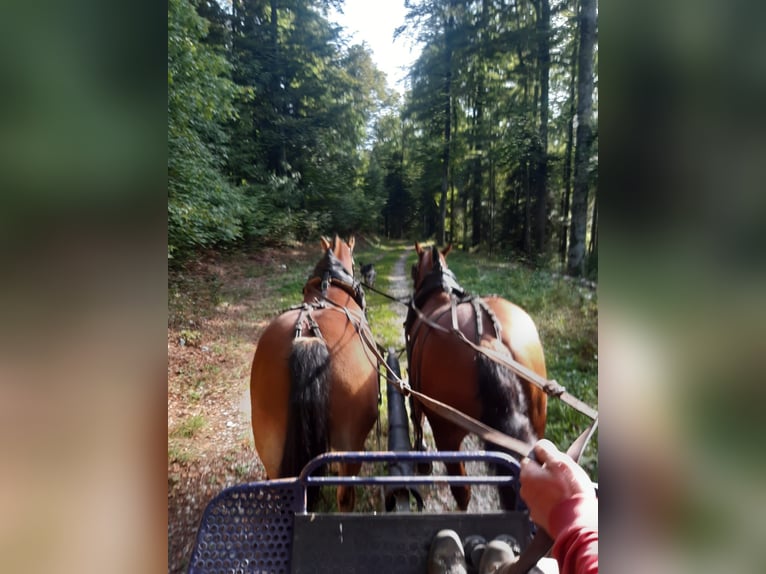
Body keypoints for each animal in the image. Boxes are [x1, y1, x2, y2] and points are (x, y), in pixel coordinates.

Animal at [252, 237, 380, 512]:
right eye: (355, 261)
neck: (330, 293)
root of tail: (308, 336)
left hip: (271, 446)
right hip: (350, 447)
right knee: (345, 496)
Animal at [404, 245, 548, 510]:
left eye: (413, 268)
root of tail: (486, 339)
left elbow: (416, 415)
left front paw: (421, 456)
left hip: (447, 435)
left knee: (462, 492)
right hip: (537, 421)